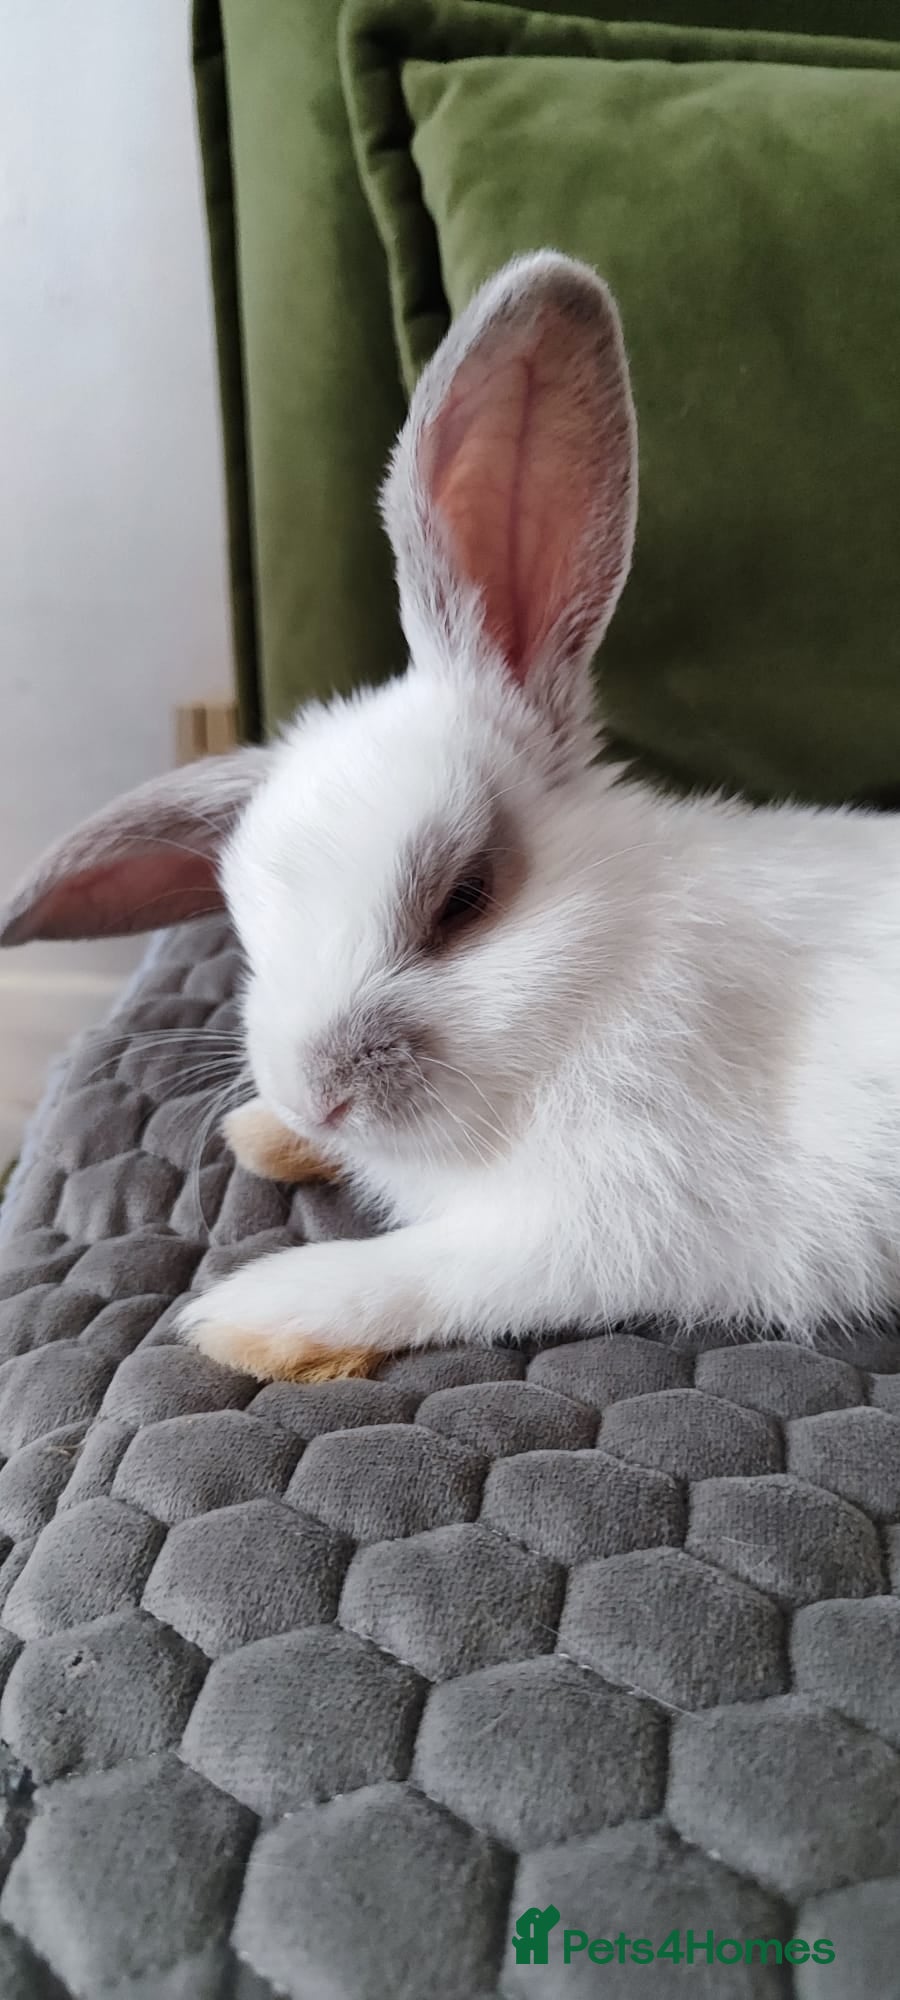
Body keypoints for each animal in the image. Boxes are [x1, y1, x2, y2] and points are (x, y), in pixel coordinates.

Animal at [6, 248, 900, 1385]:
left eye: (463, 898)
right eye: (247, 932)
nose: (317, 1093)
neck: (608, 970)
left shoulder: (623, 1215)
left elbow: (445, 1268)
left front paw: (254, 1315)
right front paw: (269, 1132)